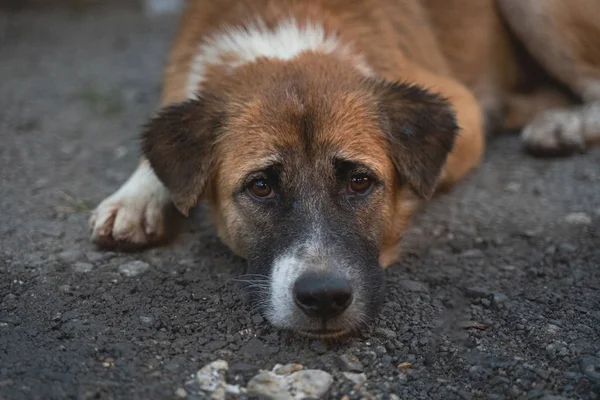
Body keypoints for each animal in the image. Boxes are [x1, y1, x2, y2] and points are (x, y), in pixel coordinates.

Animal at [88, 0, 600, 338]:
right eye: (260, 187)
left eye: (359, 181)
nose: (324, 298)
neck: (286, 40)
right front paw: (135, 198)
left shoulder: (462, 106)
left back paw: (563, 126)